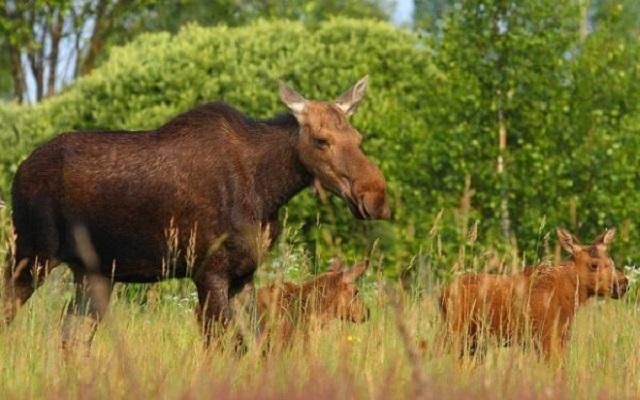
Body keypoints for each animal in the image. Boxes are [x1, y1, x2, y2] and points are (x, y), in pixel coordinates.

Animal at [3, 77, 390, 350]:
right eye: (322, 140)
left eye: (357, 137)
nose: (376, 196)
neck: (268, 190)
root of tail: (20, 170)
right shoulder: (209, 272)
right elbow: (227, 347)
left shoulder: (243, 276)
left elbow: (257, 344)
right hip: (30, 255)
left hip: (92, 271)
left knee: (72, 337)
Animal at [438, 228, 628, 360]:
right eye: (594, 264)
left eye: (610, 260)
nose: (623, 283)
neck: (569, 297)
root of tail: (441, 293)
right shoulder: (545, 337)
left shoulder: (560, 337)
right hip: (454, 330)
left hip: (473, 340)